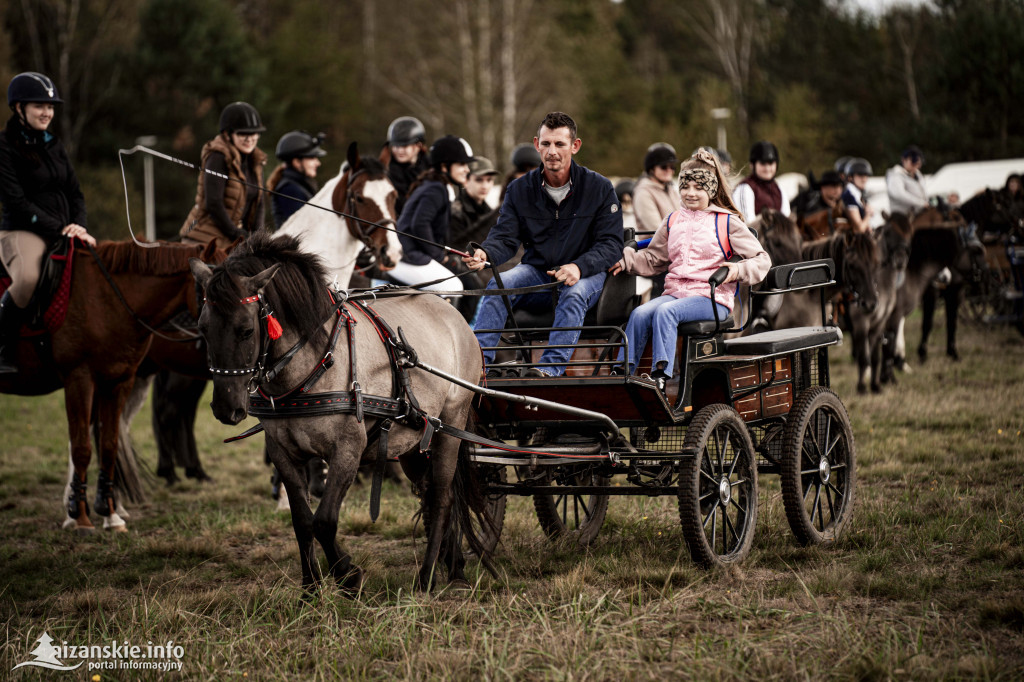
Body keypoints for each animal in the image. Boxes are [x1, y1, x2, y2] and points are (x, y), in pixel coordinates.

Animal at [1, 238, 221, 532]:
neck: (108, 299)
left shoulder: (118, 382)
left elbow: (108, 444)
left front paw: (109, 513)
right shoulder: (80, 379)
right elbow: (82, 446)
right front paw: (81, 517)